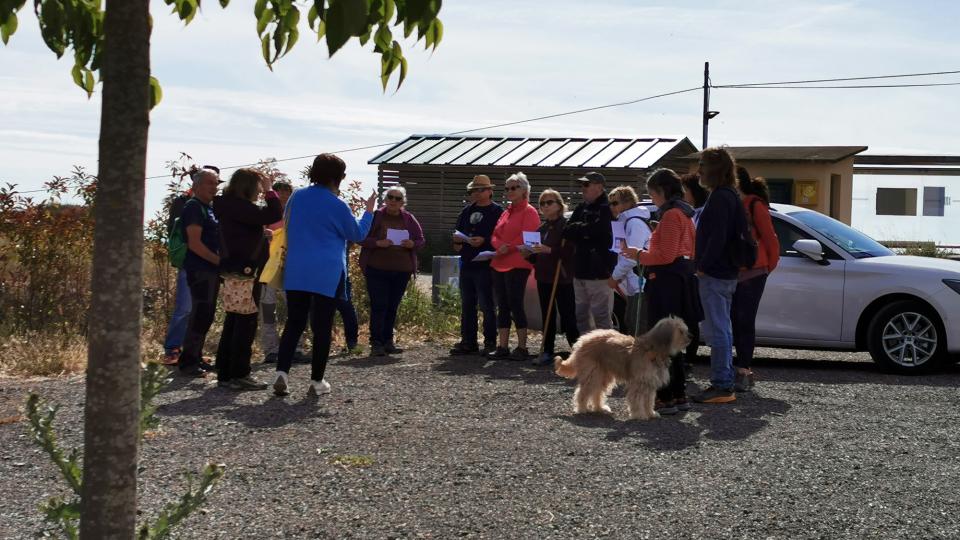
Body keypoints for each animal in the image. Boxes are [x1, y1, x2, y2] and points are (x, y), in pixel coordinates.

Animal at [556, 318, 688, 420]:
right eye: (680, 331)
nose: (690, 337)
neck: (653, 350)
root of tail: (582, 340)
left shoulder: (649, 383)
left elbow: (649, 401)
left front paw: (650, 413)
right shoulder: (639, 383)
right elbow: (637, 399)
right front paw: (639, 415)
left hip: (603, 375)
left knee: (597, 392)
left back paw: (599, 407)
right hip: (593, 373)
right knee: (583, 391)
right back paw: (582, 408)